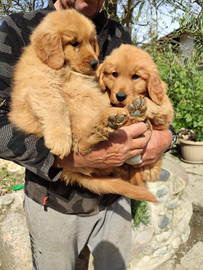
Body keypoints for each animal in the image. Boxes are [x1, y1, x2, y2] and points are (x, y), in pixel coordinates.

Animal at [9, 9, 159, 202]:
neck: (66, 68)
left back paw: (132, 114)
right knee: (80, 143)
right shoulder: (41, 85)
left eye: (91, 42)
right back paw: (110, 121)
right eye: (74, 44)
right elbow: (56, 105)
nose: (95, 63)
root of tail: (70, 173)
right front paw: (59, 140)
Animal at [97, 44, 174, 188]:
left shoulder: (165, 112)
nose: (120, 96)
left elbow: (154, 104)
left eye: (135, 77)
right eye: (114, 74)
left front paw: (139, 104)